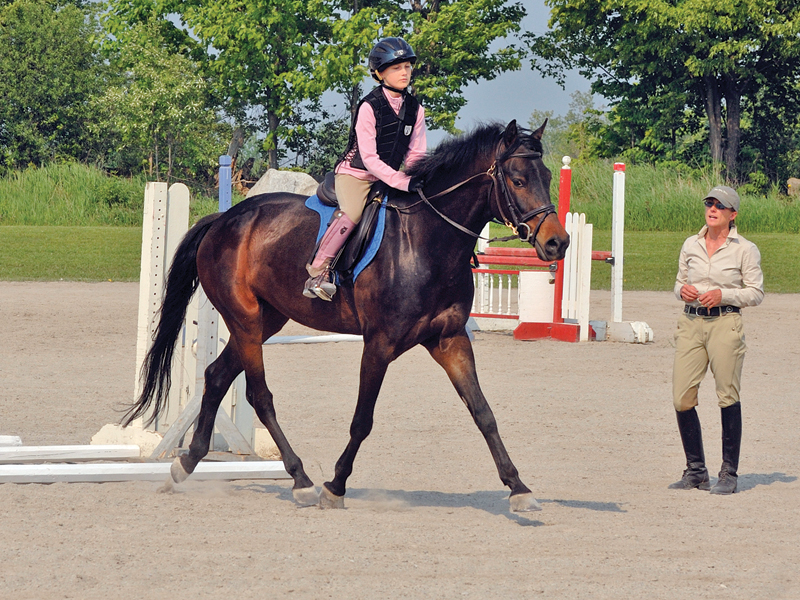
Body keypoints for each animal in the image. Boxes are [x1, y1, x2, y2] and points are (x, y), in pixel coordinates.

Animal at [124, 119, 569, 513]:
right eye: (517, 180)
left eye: (547, 176)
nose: (558, 243)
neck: (428, 241)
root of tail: (224, 219)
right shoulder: (379, 344)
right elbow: (362, 421)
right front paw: (335, 486)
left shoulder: (450, 340)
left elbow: (483, 413)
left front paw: (519, 488)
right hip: (245, 319)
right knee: (259, 395)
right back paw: (300, 479)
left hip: (266, 320)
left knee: (216, 377)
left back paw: (185, 464)